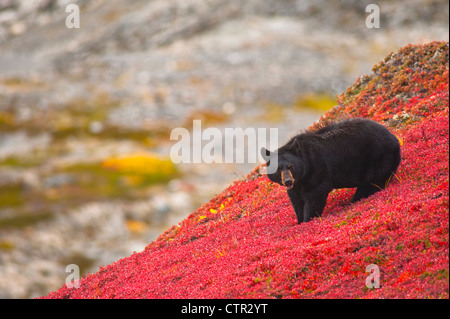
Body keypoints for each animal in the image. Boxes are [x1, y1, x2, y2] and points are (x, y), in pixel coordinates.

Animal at [260, 118, 400, 225]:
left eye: (291, 166)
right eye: (278, 169)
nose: (288, 181)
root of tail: (394, 137)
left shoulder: (316, 169)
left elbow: (315, 194)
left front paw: (308, 219)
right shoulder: (297, 183)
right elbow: (296, 199)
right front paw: (299, 221)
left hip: (377, 158)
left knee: (371, 183)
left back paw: (354, 201)